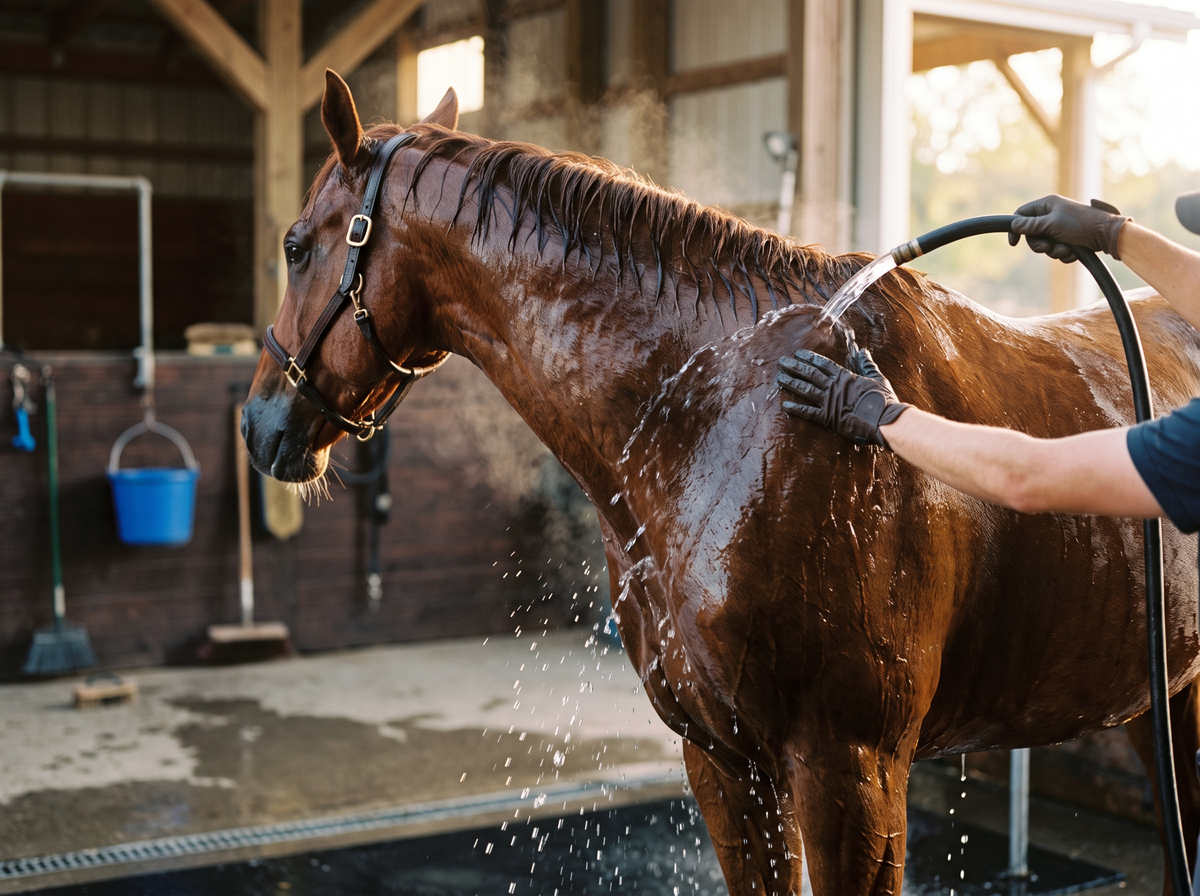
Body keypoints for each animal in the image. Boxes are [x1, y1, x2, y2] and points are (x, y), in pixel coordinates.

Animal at [242, 70, 1200, 895]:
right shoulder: (723, 760)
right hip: (1164, 700)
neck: (725, 415)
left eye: (294, 246)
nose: (257, 425)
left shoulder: (853, 771)